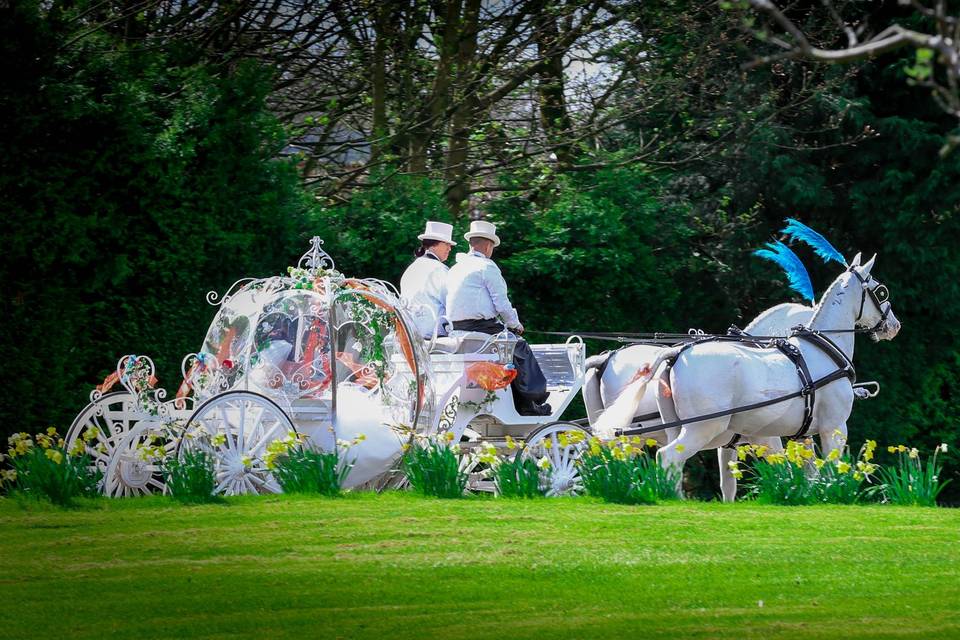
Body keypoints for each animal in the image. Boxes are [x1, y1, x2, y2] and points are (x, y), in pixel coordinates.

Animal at [600, 252, 900, 492]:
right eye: (880, 291)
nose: (894, 325)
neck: (823, 350)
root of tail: (675, 354)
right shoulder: (834, 427)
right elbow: (830, 471)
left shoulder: (800, 435)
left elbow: (807, 473)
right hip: (703, 427)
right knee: (668, 457)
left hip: (678, 427)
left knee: (672, 461)